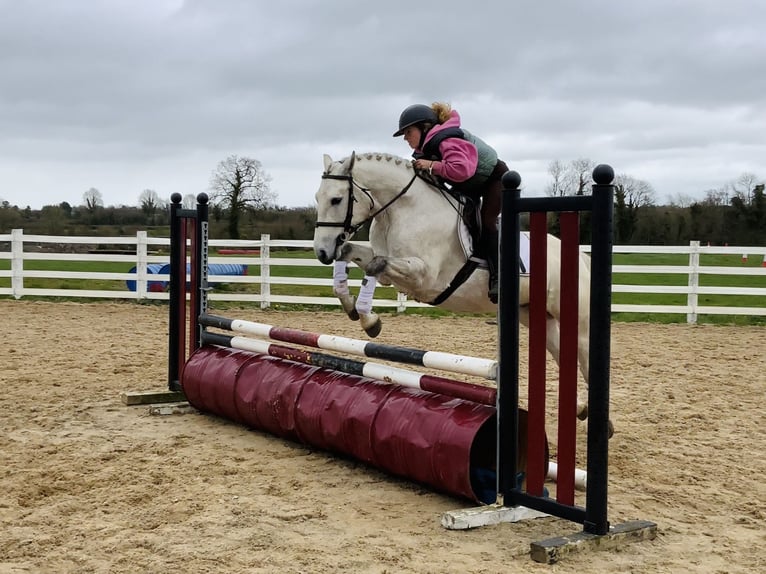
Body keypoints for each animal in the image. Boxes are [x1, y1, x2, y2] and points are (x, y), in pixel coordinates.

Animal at [313, 151, 594, 420]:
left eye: (336, 200)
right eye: (317, 198)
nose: (322, 252)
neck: (402, 210)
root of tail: (580, 256)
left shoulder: (424, 277)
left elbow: (375, 265)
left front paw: (370, 322)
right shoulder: (387, 267)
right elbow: (351, 252)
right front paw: (356, 311)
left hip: (574, 318)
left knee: (584, 354)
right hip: (535, 315)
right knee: (563, 353)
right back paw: (580, 408)